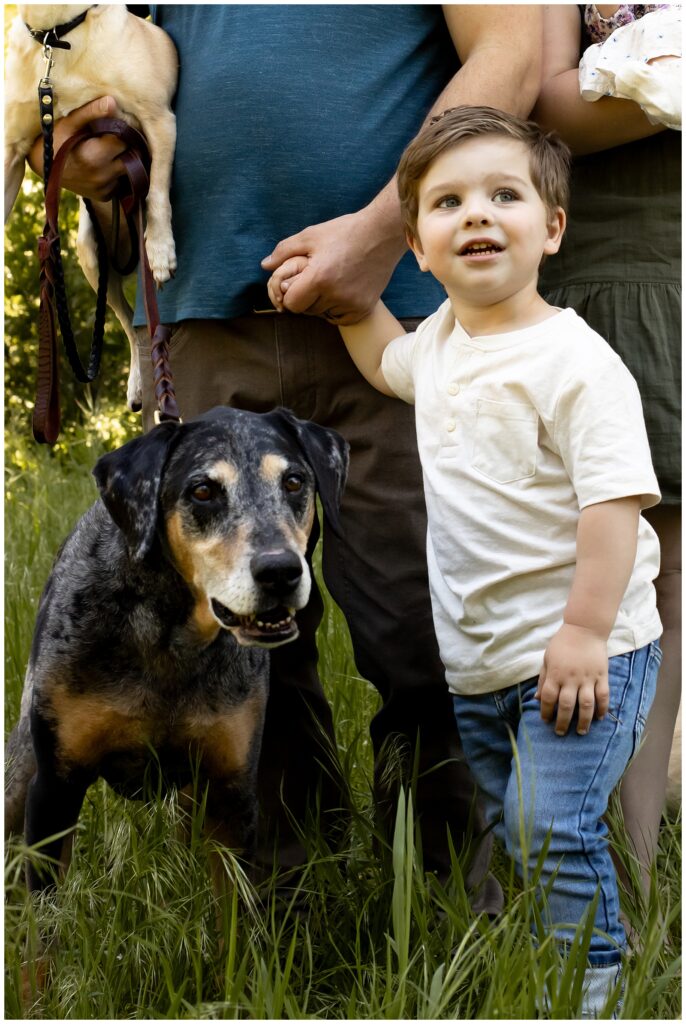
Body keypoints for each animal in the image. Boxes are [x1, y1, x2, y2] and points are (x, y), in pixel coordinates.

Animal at [4, 4, 179, 411]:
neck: (56, 36)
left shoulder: (159, 120)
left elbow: (157, 193)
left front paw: (161, 248)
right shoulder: (11, 152)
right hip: (92, 255)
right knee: (132, 326)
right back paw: (137, 384)